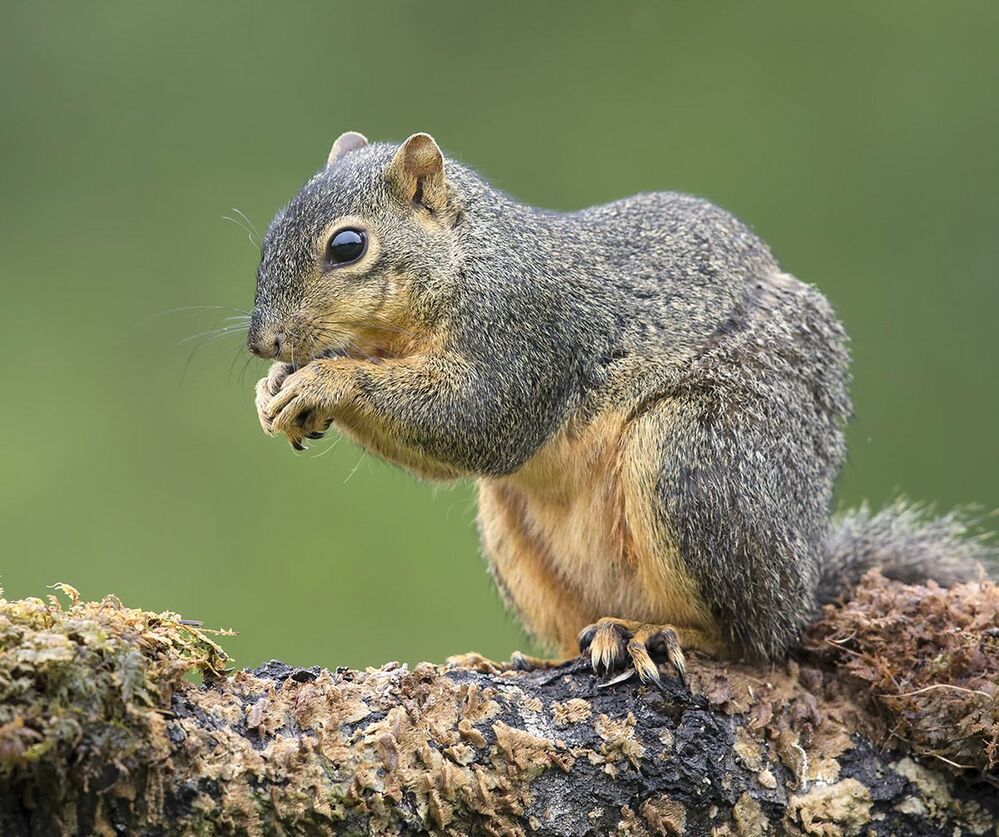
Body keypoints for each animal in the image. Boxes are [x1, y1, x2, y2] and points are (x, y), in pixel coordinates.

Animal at [247, 131, 993, 682]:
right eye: (269, 236)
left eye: (348, 246)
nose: (262, 342)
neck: (464, 260)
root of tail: (802, 583)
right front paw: (275, 390)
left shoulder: (526, 336)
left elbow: (476, 420)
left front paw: (323, 382)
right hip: (514, 533)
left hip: (696, 461)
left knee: (751, 642)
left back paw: (656, 633)